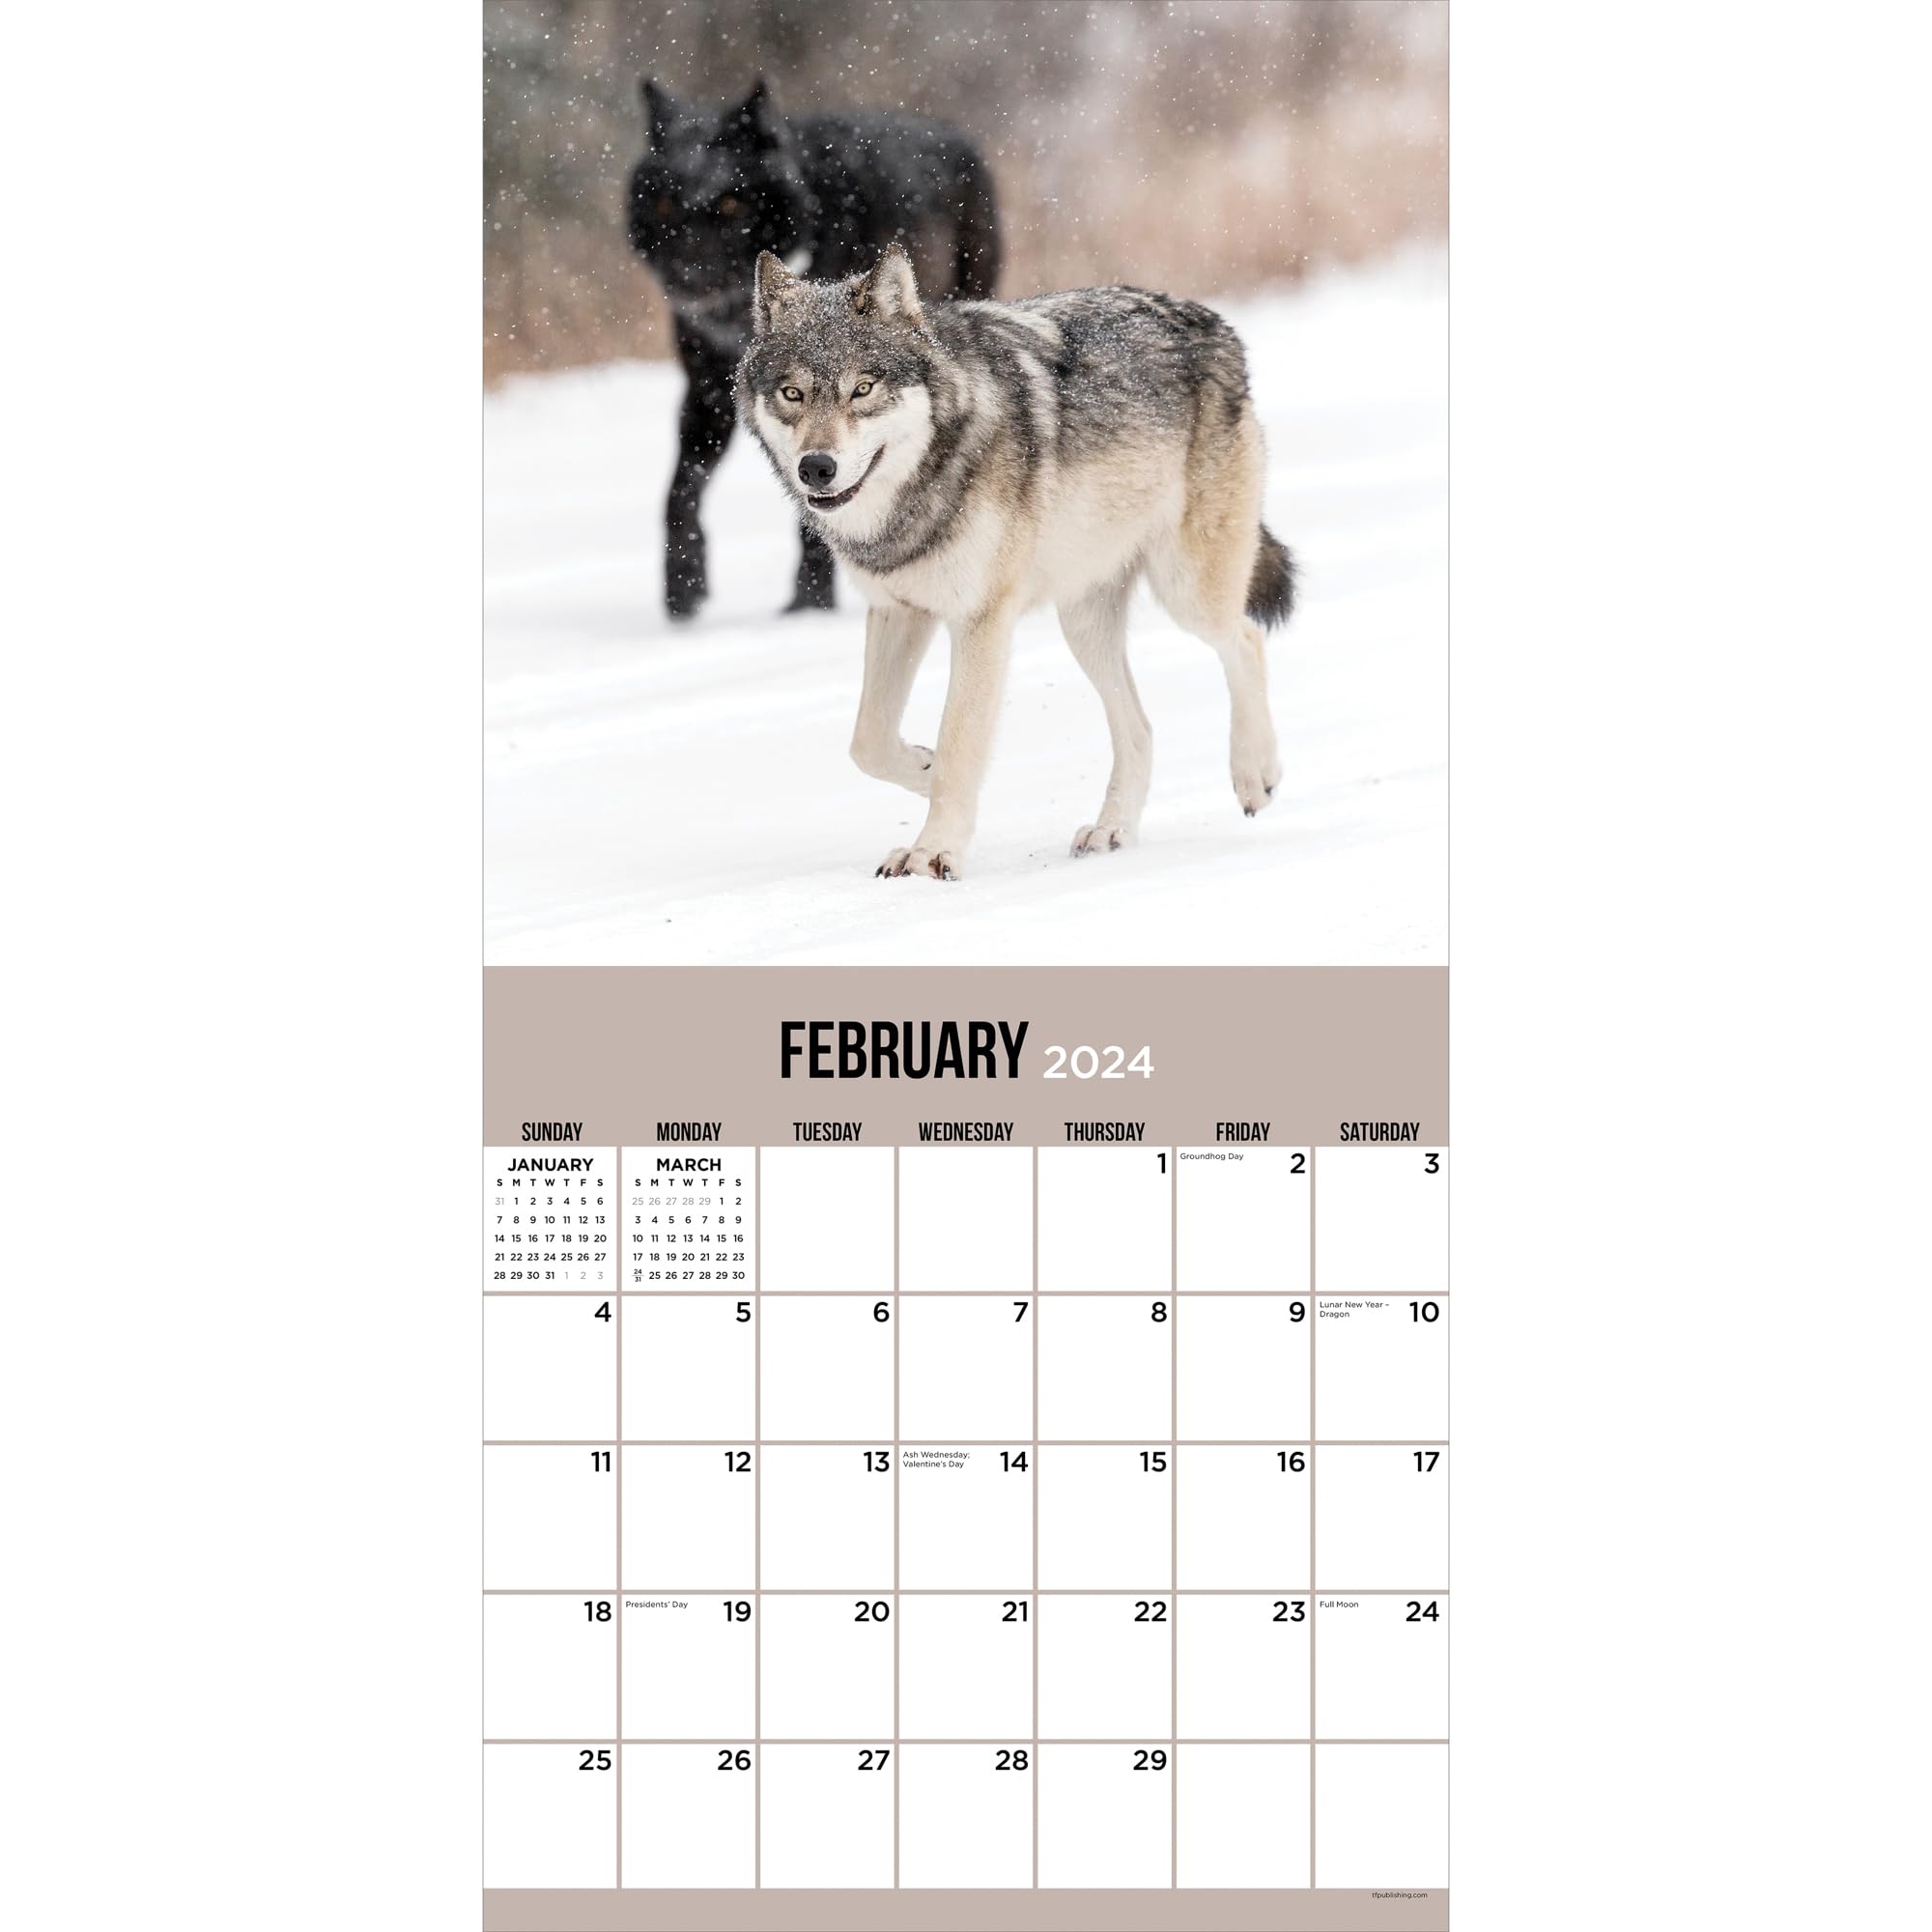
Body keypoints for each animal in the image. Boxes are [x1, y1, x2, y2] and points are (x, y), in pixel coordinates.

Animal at [627, 78, 1001, 619]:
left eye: (730, 204)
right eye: (665, 206)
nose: (685, 278)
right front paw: (683, 588)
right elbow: (680, 489)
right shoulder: (710, 389)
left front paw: (809, 601)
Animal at [736, 245, 1297, 880]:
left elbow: (959, 744)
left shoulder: (980, 620)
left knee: (1245, 639)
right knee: (1141, 728)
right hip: (1083, 624)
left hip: (1187, 590)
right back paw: (1111, 831)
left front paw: (932, 854)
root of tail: (1210, 319)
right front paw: (922, 768)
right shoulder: (899, 611)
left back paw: (1255, 774)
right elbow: (867, 741)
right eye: (793, 394)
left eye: (863, 388)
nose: (817, 467)